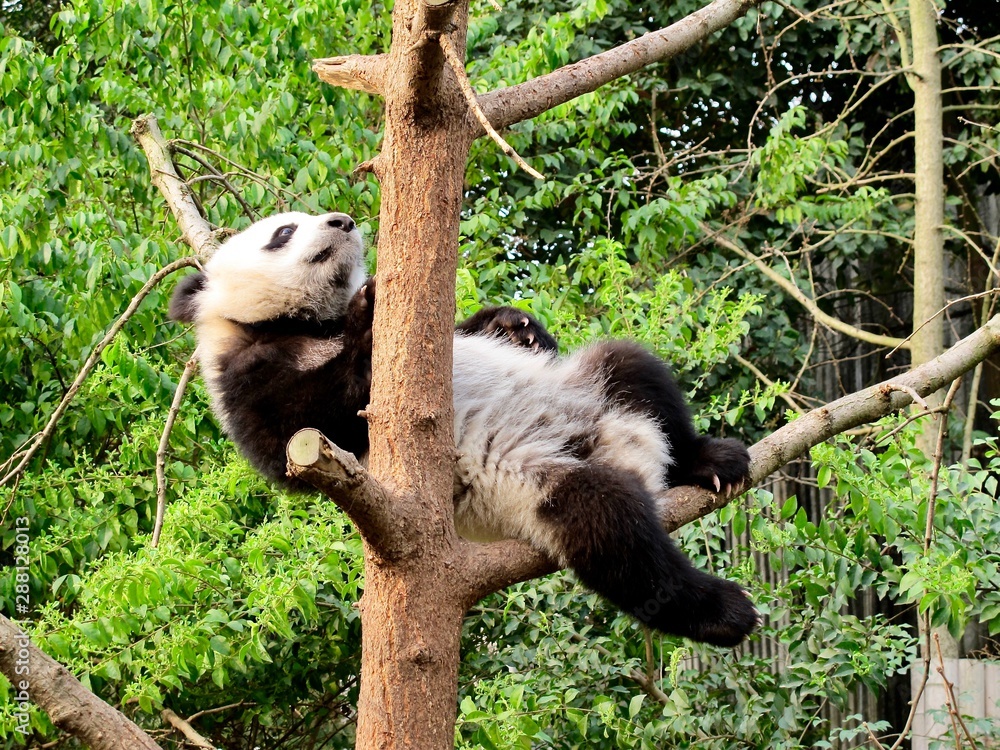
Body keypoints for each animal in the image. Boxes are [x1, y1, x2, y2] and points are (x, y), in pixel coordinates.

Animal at [169, 211, 760, 647]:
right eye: (283, 233)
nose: (342, 221)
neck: (307, 324)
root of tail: (626, 454)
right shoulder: (248, 383)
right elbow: (311, 421)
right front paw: (368, 314)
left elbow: (462, 336)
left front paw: (516, 325)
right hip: (527, 486)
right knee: (613, 532)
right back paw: (724, 612)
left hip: (590, 389)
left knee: (637, 371)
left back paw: (712, 463)